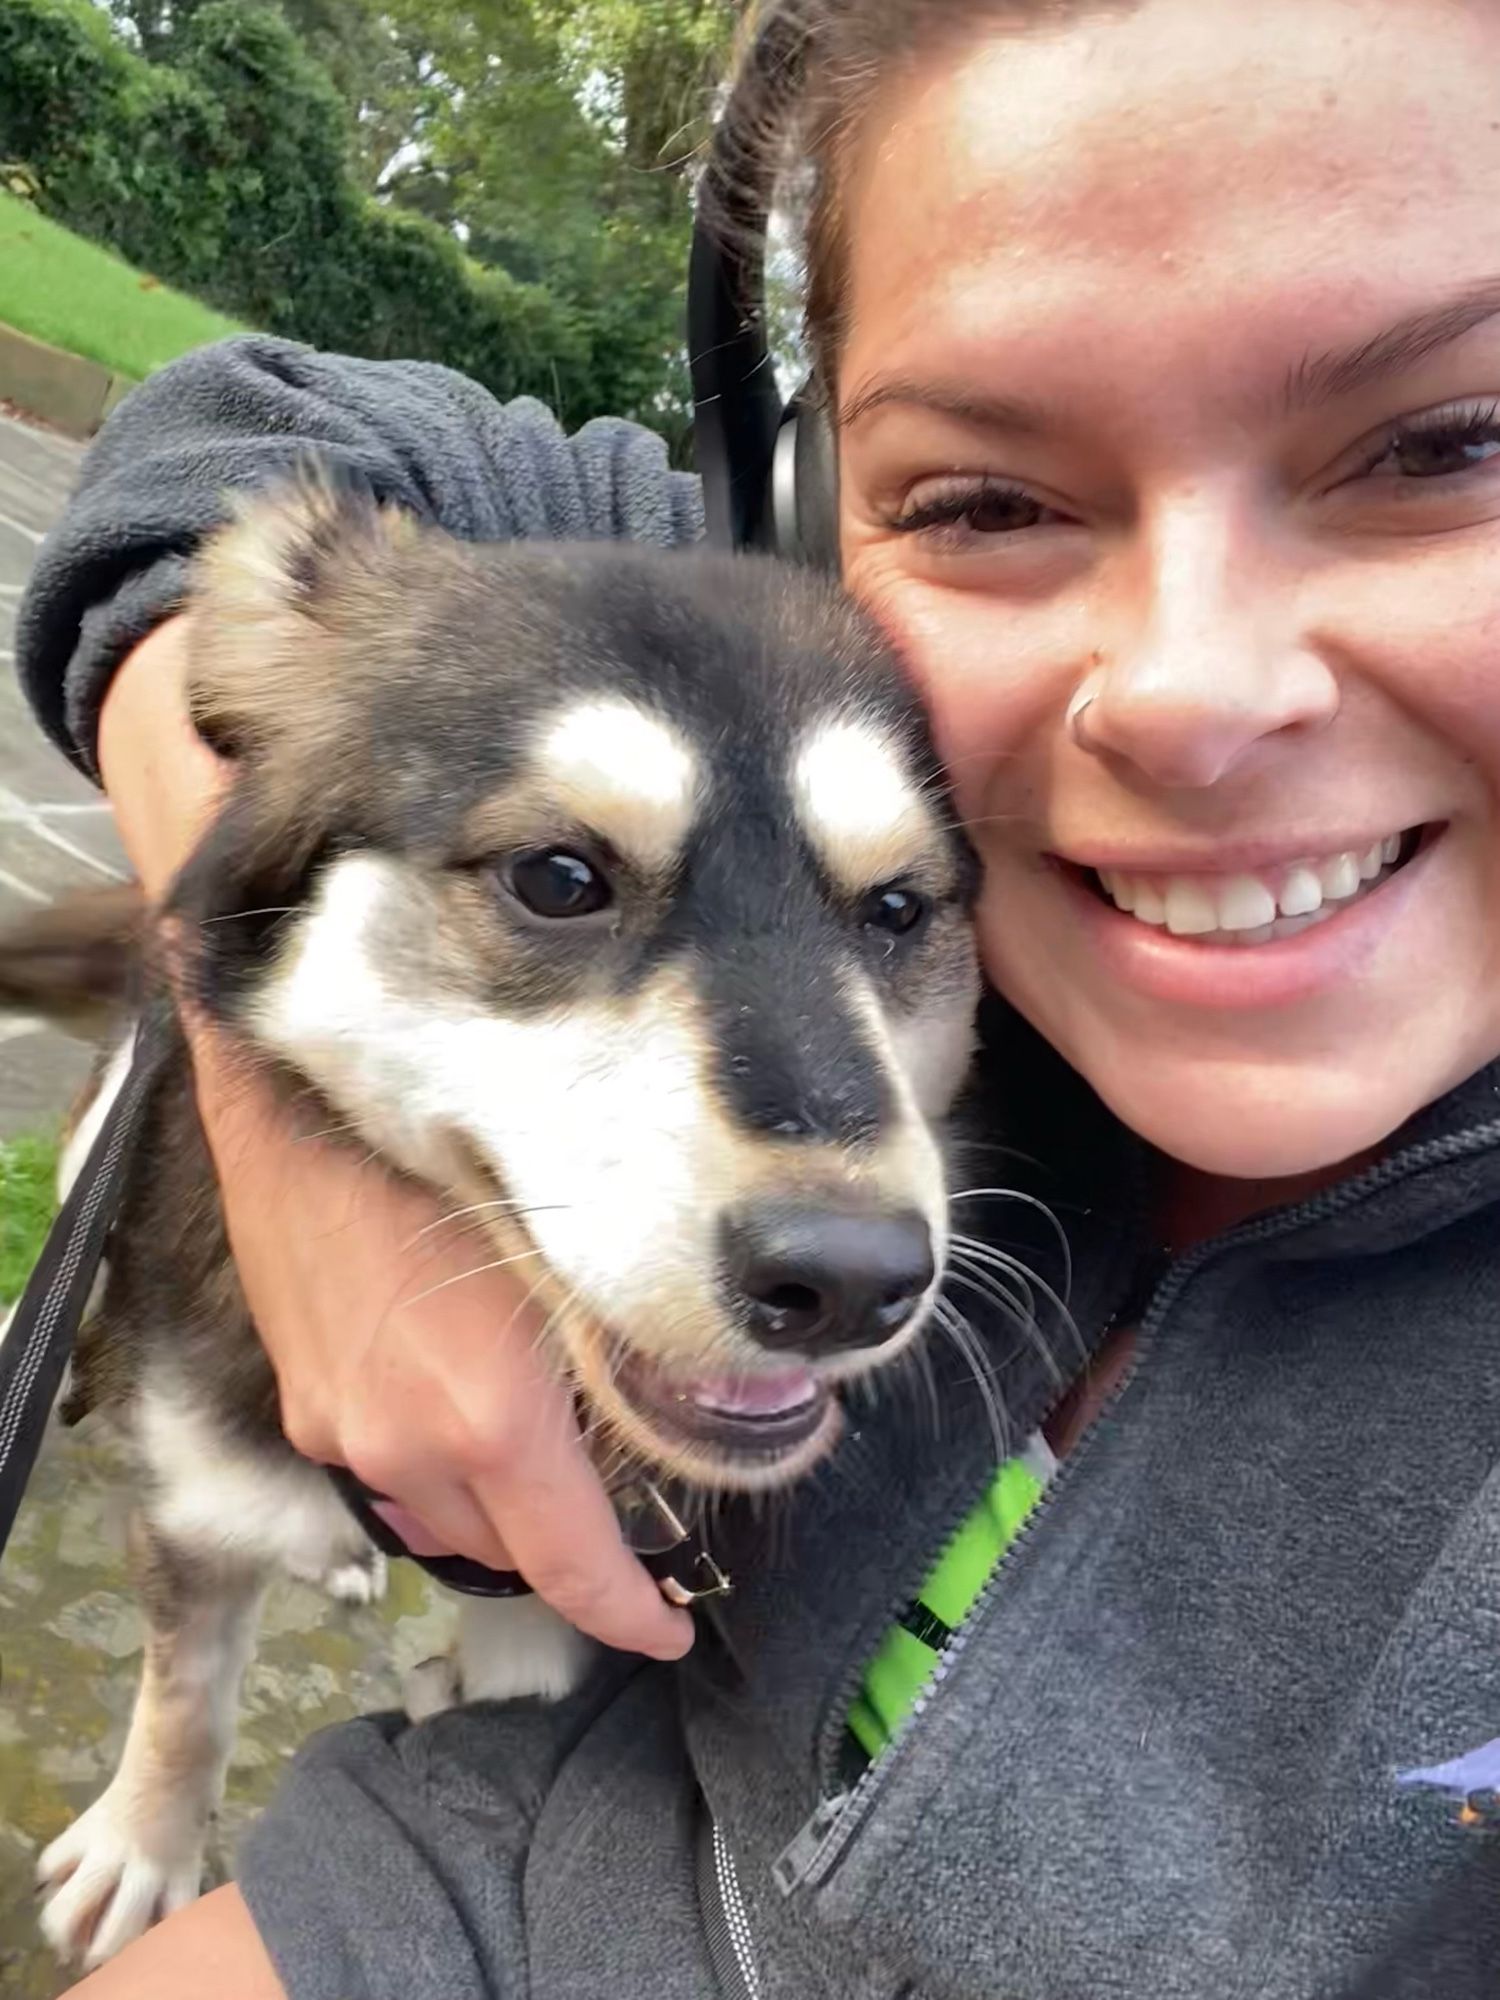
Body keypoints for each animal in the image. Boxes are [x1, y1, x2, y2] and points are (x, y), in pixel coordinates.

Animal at [0, 472, 988, 1968]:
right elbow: (185, 1699)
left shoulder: (555, 1630)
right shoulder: (199, 1503)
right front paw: (143, 1844)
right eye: (559, 877)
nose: (851, 1280)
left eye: (897, 908)